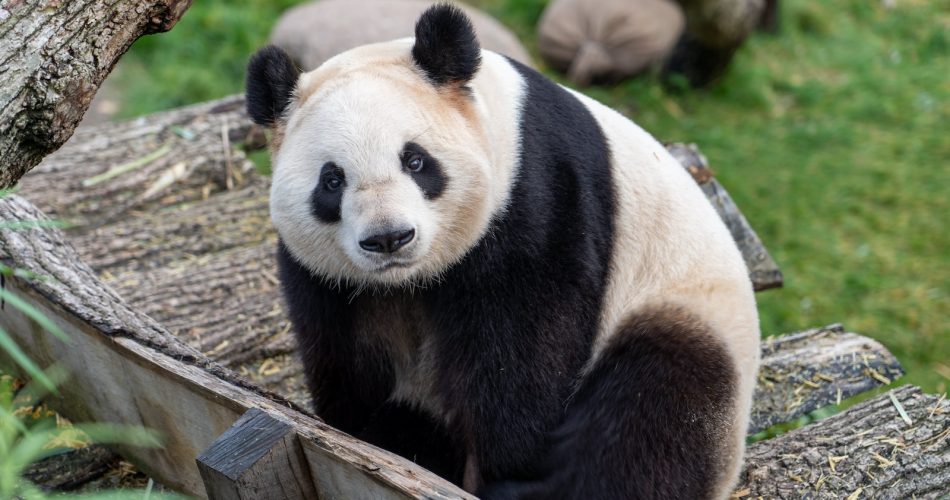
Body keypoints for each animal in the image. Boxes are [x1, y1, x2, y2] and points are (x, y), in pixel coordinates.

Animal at [246, 4, 760, 499]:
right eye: (332, 180)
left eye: (415, 160)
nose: (389, 238)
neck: (409, 280)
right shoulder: (327, 278)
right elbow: (345, 352)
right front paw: (368, 433)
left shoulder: (536, 196)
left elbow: (522, 350)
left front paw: (501, 465)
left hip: (683, 308)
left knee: (653, 409)